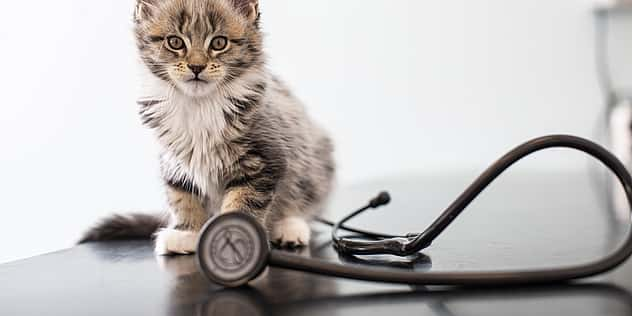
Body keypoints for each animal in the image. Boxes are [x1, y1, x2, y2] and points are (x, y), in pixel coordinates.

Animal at [80, 0, 336, 256]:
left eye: (219, 43)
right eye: (175, 42)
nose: (196, 66)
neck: (199, 105)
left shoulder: (263, 159)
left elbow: (243, 203)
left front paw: (236, 238)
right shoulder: (176, 164)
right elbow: (183, 198)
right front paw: (187, 233)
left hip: (312, 157)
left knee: (303, 200)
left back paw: (290, 227)